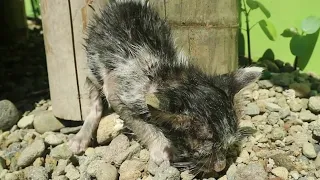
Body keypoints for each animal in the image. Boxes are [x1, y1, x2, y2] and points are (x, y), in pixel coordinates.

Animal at [69, 0, 264, 174]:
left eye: (226, 146)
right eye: (205, 148)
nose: (220, 167)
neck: (168, 74)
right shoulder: (117, 90)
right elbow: (141, 124)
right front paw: (163, 148)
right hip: (93, 63)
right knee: (95, 99)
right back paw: (80, 138)